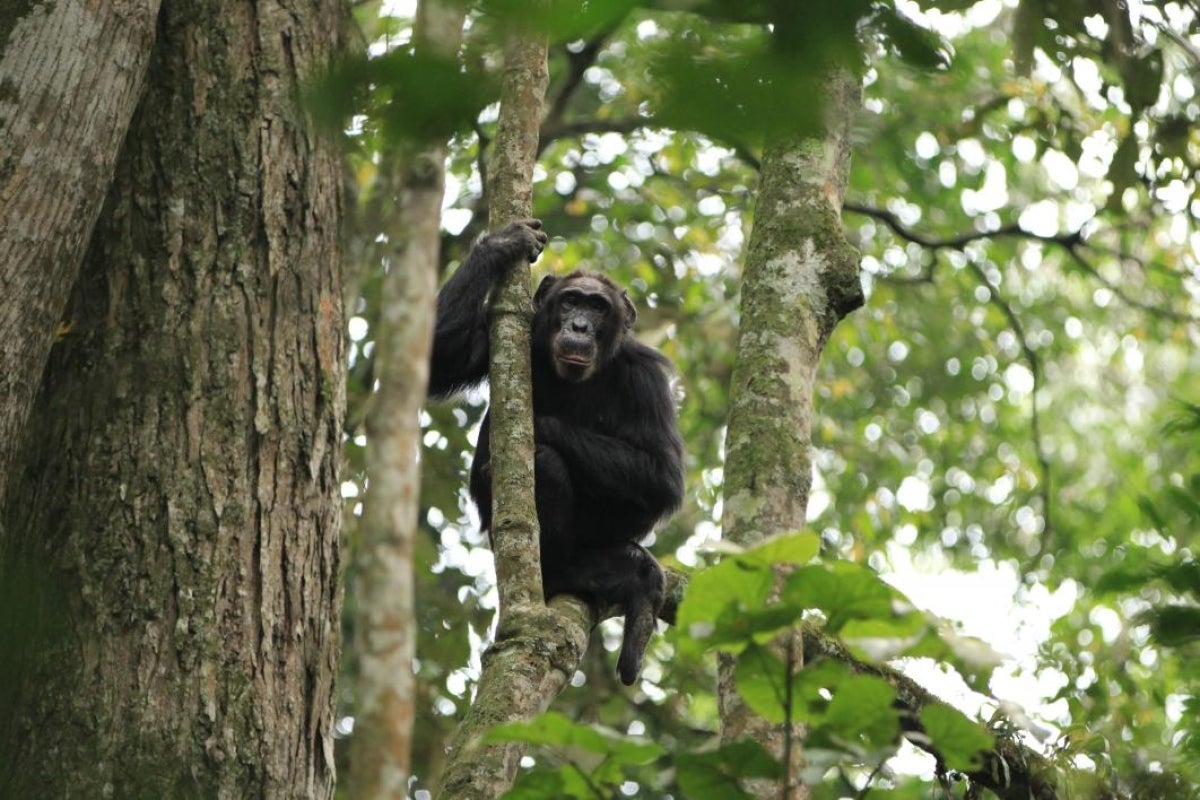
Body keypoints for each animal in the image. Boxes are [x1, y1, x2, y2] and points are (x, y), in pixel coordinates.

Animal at [429, 220, 686, 690]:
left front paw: (539, 423)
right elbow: (442, 357)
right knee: (547, 466)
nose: (580, 325)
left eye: (598, 307)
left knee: (548, 460)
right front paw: (501, 245)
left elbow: (662, 474)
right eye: (570, 300)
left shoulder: (647, 377)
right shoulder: (506, 334)